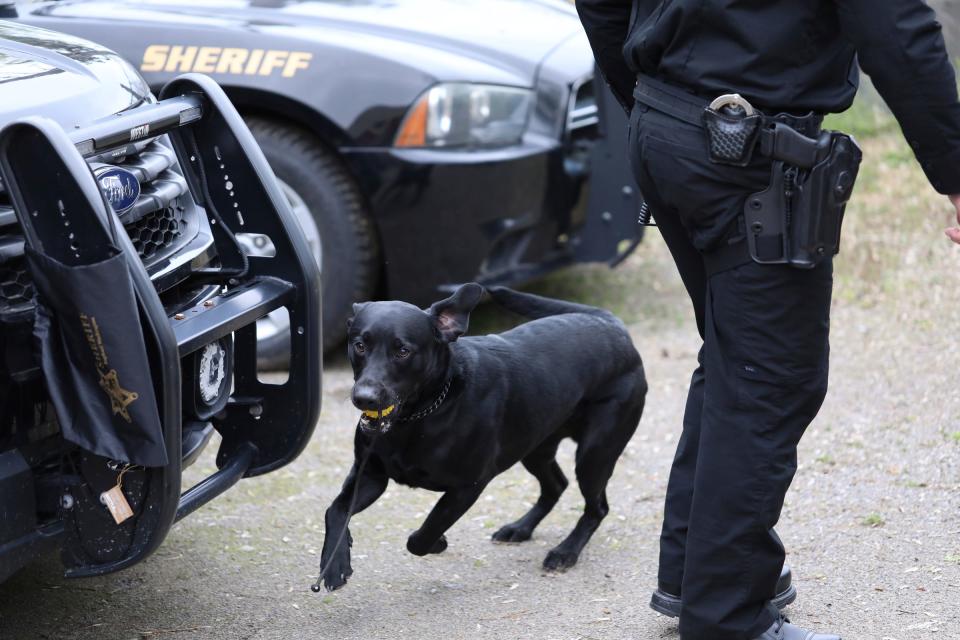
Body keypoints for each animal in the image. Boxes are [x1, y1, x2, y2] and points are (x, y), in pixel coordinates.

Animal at [318, 282, 648, 592]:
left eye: (403, 351)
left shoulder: (468, 486)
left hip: (594, 454)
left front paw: (438, 542)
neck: (422, 415)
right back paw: (520, 529)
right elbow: (334, 510)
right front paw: (334, 564)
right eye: (360, 345)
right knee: (556, 485)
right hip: (535, 447)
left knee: (597, 507)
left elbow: (424, 535)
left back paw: (565, 552)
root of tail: (610, 323)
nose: (365, 397)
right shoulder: (371, 475)